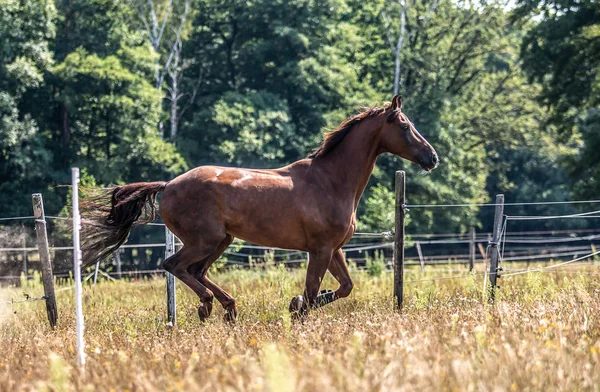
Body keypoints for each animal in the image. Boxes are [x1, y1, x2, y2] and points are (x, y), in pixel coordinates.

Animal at [81, 95, 436, 322]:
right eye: (405, 126)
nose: (432, 157)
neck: (330, 181)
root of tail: (168, 185)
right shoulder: (319, 249)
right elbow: (311, 292)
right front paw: (296, 311)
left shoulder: (333, 249)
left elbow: (345, 287)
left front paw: (295, 305)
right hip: (205, 240)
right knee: (175, 266)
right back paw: (208, 306)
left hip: (221, 241)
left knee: (197, 271)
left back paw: (227, 307)